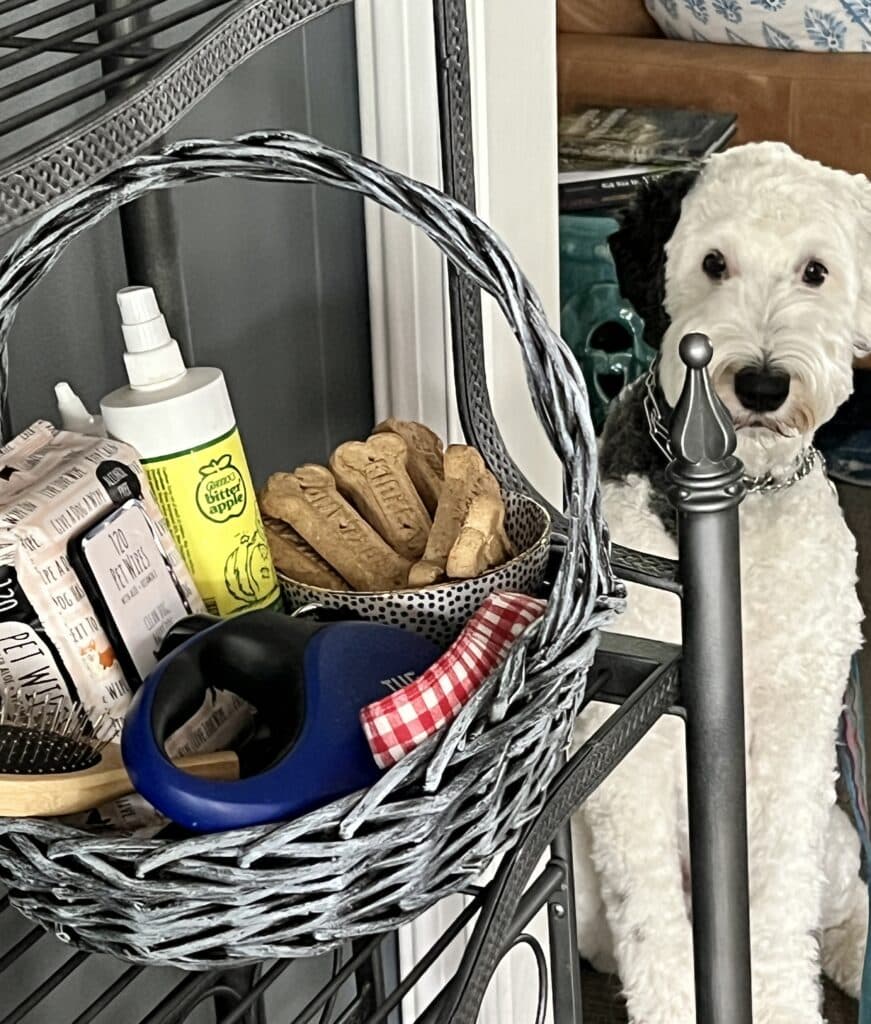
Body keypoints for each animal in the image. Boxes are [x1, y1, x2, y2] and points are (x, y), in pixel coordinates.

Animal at [573, 142, 871, 1024]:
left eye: (814, 271)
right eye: (712, 263)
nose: (763, 383)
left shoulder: (796, 728)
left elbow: (776, 905)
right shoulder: (629, 747)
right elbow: (651, 926)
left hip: (835, 828)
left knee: (839, 906)